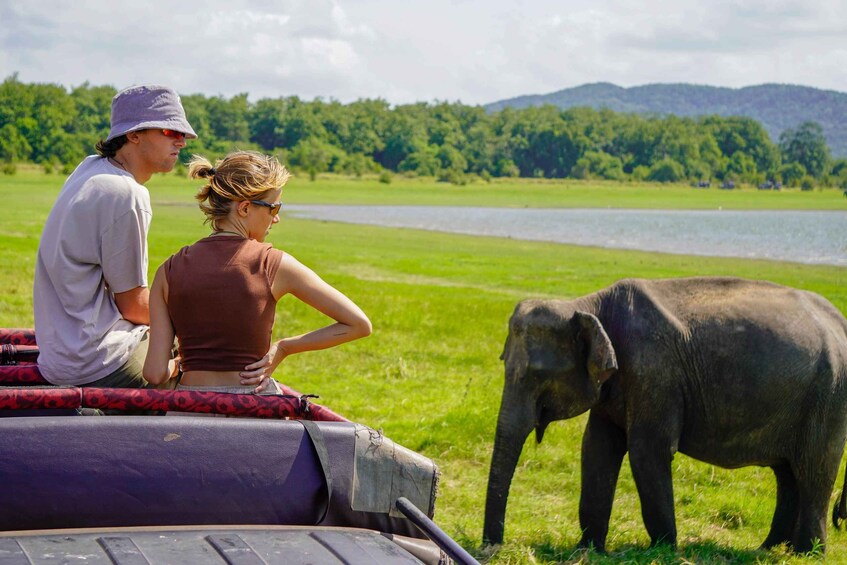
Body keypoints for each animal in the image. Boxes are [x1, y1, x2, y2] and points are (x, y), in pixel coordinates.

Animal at [483, 277, 847, 553]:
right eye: (503, 361)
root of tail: (839, 320)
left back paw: (807, 553)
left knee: (813, 470)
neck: (589, 304)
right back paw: (768, 549)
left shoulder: (653, 372)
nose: (492, 548)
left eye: (537, 375)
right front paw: (588, 549)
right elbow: (597, 448)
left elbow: (648, 450)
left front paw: (664, 549)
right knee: (787, 473)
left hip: (827, 396)